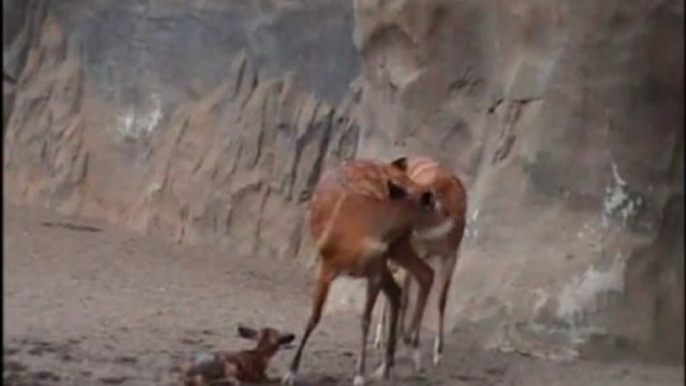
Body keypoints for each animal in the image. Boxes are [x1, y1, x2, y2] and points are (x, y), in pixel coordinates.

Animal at [282, 158, 448, 386]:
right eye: (429, 201)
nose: (448, 214)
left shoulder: (374, 271)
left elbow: (364, 320)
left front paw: (359, 374)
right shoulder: (326, 266)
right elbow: (313, 317)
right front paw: (290, 372)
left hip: (397, 249)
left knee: (420, 277)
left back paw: (404, 357)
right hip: (395, 252)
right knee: (409, 283)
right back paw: (391, 363)